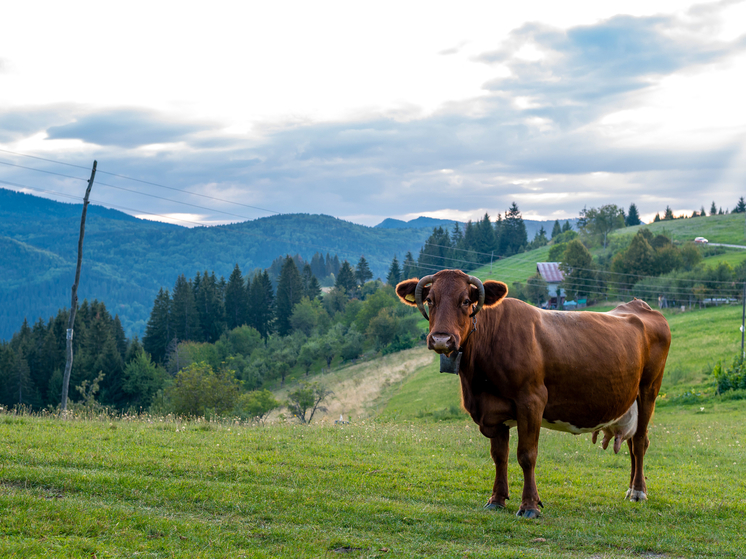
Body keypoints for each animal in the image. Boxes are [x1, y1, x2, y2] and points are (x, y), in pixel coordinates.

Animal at [398, 270, 672, 520]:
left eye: (465, 301)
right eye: (430, 299)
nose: (441, 339)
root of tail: (639, 305)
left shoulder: (531, 402)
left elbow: (526, 455)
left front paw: (529, 506)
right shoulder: (493, 412)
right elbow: (499, 456)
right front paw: (497, 500)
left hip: (648, 389)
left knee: (640, 441)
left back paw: (638, 492)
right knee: (632, 443)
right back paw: (630, 489)